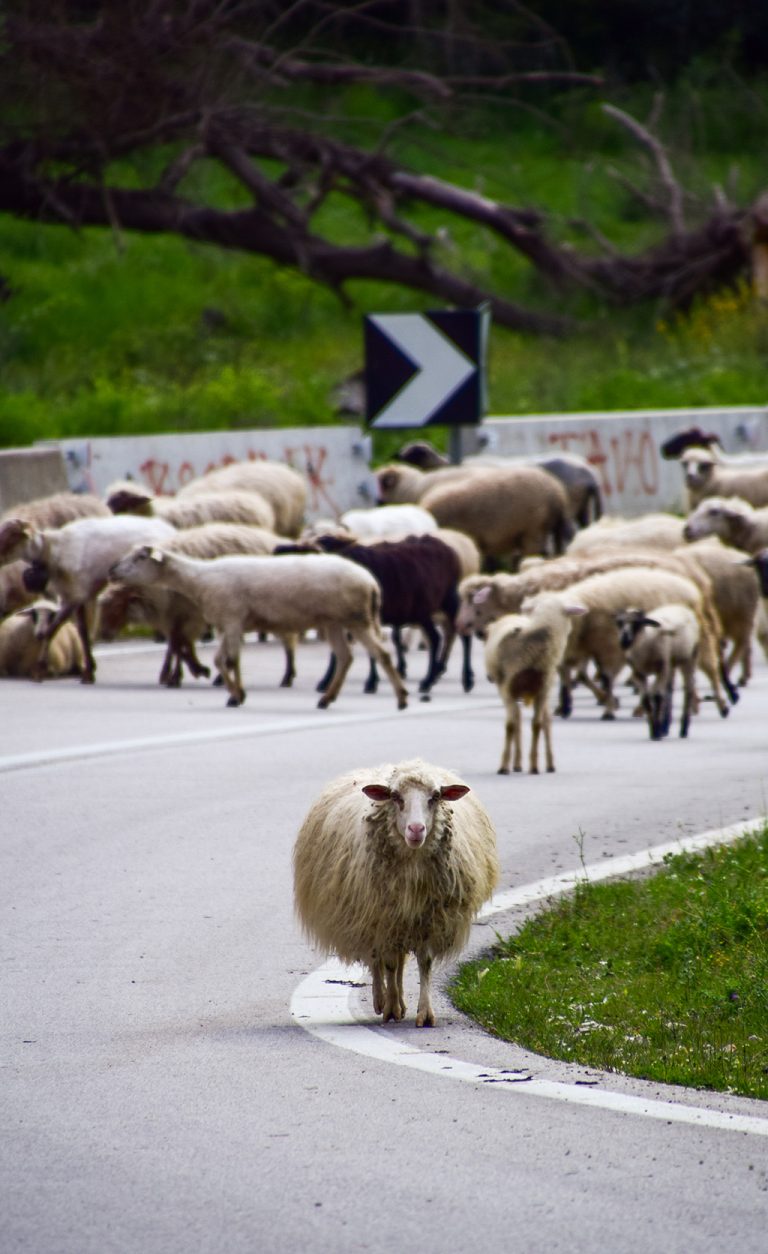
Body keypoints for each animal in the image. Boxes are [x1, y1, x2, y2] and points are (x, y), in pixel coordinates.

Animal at [17, 514, 177, 683]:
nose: (29, 582)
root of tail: (171, 531)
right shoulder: (81, 596)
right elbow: (83, 631)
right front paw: (89, 669)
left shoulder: (75, 596)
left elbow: (54, 629)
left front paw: (40, 670)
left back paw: (167, 674)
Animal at [108, 546, 409, 710]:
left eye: (139, 557)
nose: (111, 571)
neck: (199, 580)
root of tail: (370, 582)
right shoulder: (228, 624)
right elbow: (223, 660)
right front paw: (237, 694)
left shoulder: (231, 619)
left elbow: (229, 660)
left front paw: (235, 696)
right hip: (335, 621)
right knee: (346, 657)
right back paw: (326, 699)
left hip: (357, 617)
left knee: (381, 654)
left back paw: (402, 698)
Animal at [292, 758, 499, 1027]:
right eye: (395, 797)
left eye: (435, 796)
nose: (416, 829)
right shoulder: (384, 918)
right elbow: (388, 963)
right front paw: (390, 1009)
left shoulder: (429, 919)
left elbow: (424, 963)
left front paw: (425, 1013)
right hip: (372, 917)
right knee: (378, 961)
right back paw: (383, 1000)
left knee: (398, 961)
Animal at [484, 595, 585, 775]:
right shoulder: (507, 690)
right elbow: (510, 726)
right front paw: (504, 766)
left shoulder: (542, 691)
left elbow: (537, 725)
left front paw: (534, 766)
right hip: (507, 688)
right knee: (517, 719)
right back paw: (516, 763)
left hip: (543, 692)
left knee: (545, 721)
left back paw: (549, 764)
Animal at [615, 605, 700, 740]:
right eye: (619, 622)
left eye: (637, 623)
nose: (624, 641)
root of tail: (680, 606)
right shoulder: (638, 673)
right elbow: (646, 699)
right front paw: (654, 731)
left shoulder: (662, 669)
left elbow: (658, 696)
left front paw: (657, 732)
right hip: (671, 663)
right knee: (669, 690)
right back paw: (665, 726)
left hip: (689, 658)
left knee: (689, 689)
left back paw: (683, 730)